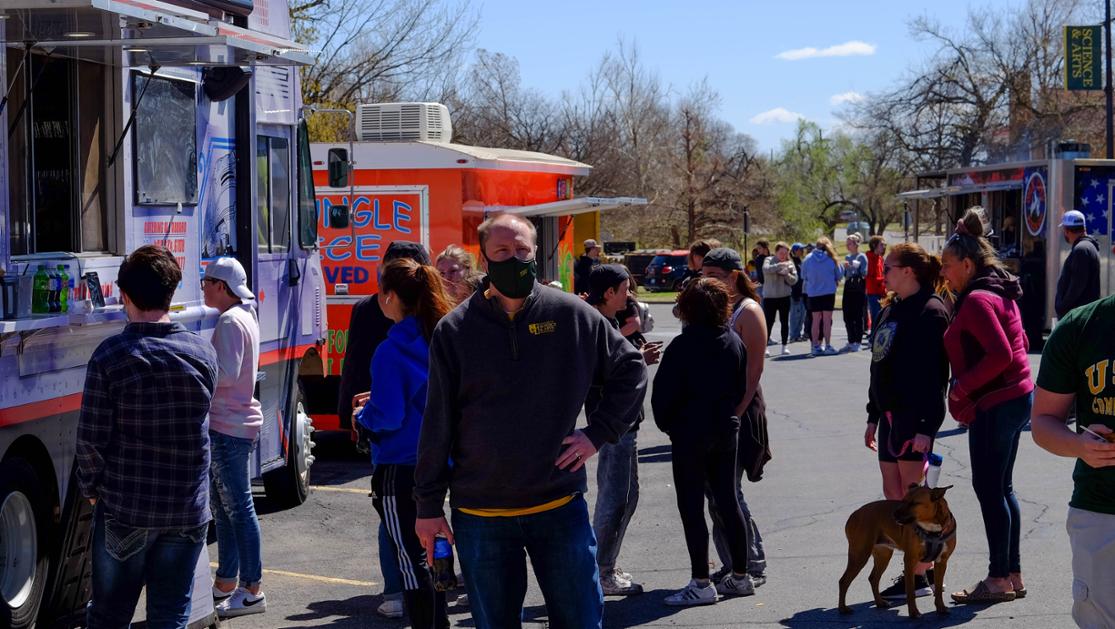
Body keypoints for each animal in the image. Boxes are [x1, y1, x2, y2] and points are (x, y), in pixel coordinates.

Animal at [838, 484, 958, 615]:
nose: (893, 514)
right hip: (859, 555)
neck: (932, 529)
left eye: (914, 503)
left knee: (873, 578)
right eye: (903, 500)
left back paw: (879, 602)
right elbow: (910, 591)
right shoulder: (910, 560)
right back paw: (843, 608)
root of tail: (855, 513)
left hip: (883, 556)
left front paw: (941, 608)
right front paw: (913, 612)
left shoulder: (942, 562)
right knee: (843, 581)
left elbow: (938, 588)